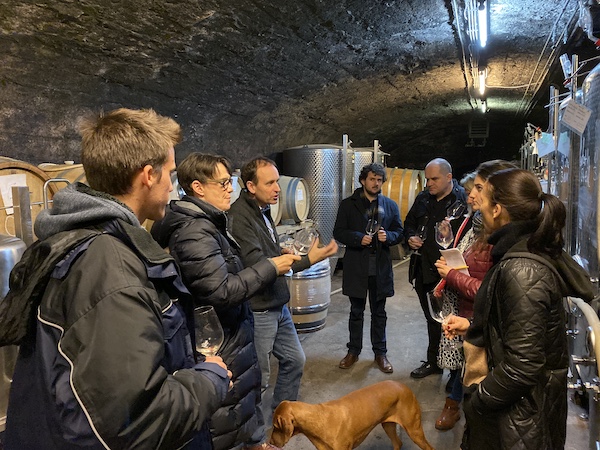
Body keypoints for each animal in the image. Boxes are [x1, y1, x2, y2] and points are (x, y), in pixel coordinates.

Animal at [270, 380, 434, 450]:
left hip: (414, 431)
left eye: (275, 426)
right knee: (397, 443)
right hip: (388, 425)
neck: (319, 419)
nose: (270, 442)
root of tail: (405, 387)